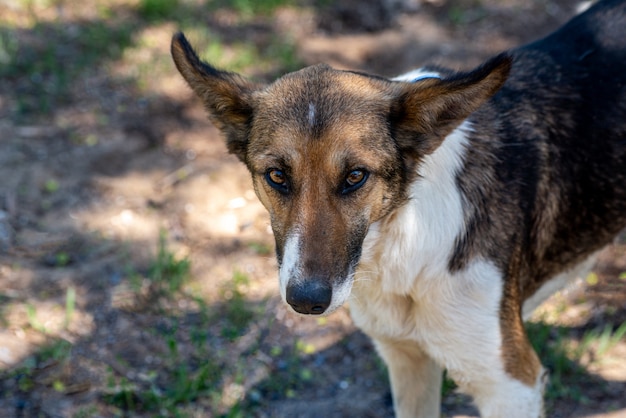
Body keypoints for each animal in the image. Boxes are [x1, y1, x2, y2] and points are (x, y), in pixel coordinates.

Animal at [171, 1, 624, 416]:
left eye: (356, 176)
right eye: (277, 176)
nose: (306, 301)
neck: (403, 242)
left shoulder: (510, 385)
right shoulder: (407, 361)